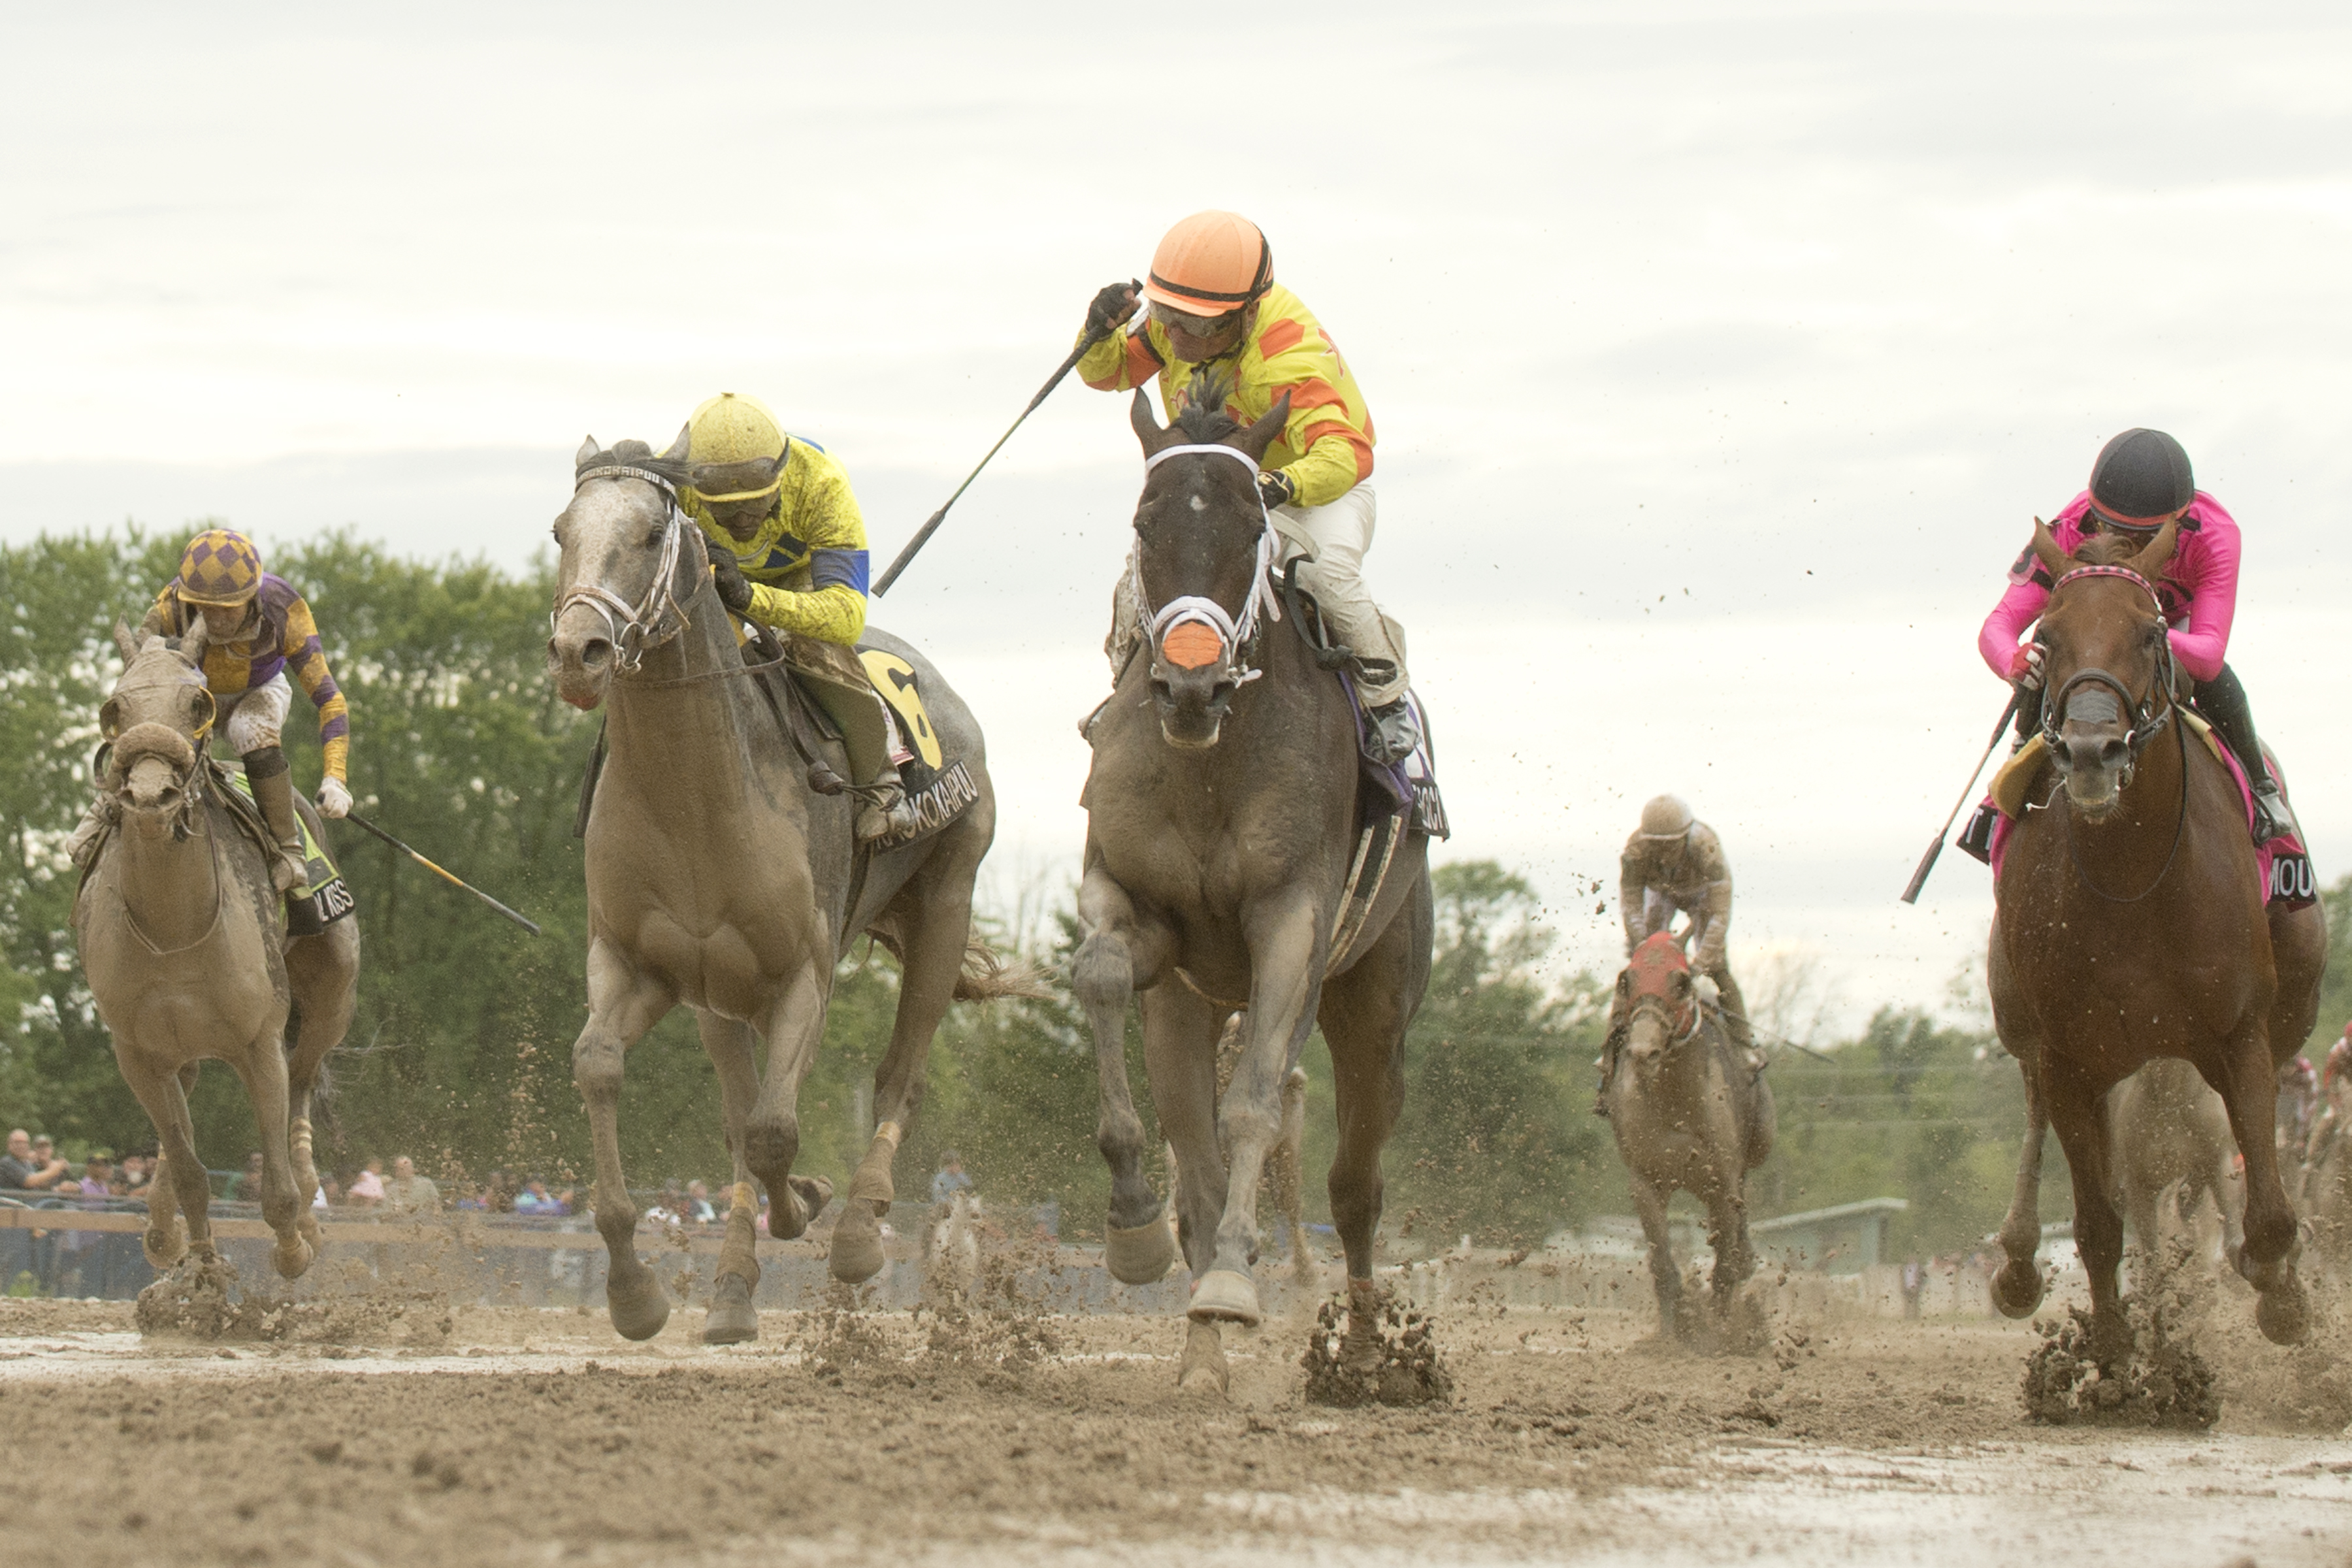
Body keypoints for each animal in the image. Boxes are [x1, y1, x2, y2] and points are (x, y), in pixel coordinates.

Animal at [72, 620, 357, 1298]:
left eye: (196, 705)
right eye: (115, 709)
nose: (150, 792)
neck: (174, 923)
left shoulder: (258, 1040)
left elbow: (277, 1188)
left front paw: (293, 1248)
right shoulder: (139, 1052)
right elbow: (190, 1170)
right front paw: (199, 1269)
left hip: (333, 997)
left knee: (305, 1076)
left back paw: (310, 1200)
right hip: (181, 1045)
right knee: (189, 1103)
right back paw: (160, 1223)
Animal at [550, 433, 1030, 1354]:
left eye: (651, 535)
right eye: (563, 531)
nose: (577, 651)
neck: (695, 801)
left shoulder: (803, 974)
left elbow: (775, 1133)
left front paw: (809, 1205)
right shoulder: (644, 966)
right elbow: (606, 1070)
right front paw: (636, 1292)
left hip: (948, 899)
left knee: (899, 1075)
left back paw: (856, 1227)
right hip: (719, 997)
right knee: (742, 1113)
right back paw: (734, 1291)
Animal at [1072, 392, 1429, 1401]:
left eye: (1249, 529)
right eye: (1145, 524)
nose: (1188, 684)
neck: (1209, 763)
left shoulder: (1292, 925)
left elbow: (1258, 1109)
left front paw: (1236, 1279)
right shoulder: (1139, 912)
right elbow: (1102, 976)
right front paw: (1133, 1226)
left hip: (1377, 1003)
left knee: (1355, 1188)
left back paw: (1361, 1356)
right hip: (1186, 1012)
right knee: (1195, 1170)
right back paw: (1200, 1356)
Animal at [1609, 930, 1769, 1335]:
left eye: (1681, 981)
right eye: (1627, 980)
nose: (1643, 1052)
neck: (1675, 1099)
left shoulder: (1723, 1182)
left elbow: (1725, 1270)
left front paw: (1721, 1333)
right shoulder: (1646, 1183)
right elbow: (1663, 1267)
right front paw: (1673, 1332)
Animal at [1985, 517, 2333, 1363]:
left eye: (2150, 633)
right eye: (2046, 635)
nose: (2091, 751)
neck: (2132, 877)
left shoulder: (2240, 1036)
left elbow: (2266, 1215)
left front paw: (2281, 1298)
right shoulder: (2069, 1058)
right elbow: (2098, 1227)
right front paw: (2116, 1360)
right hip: (2028, 1025)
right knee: (2040, 1119)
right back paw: (2017, 1263)